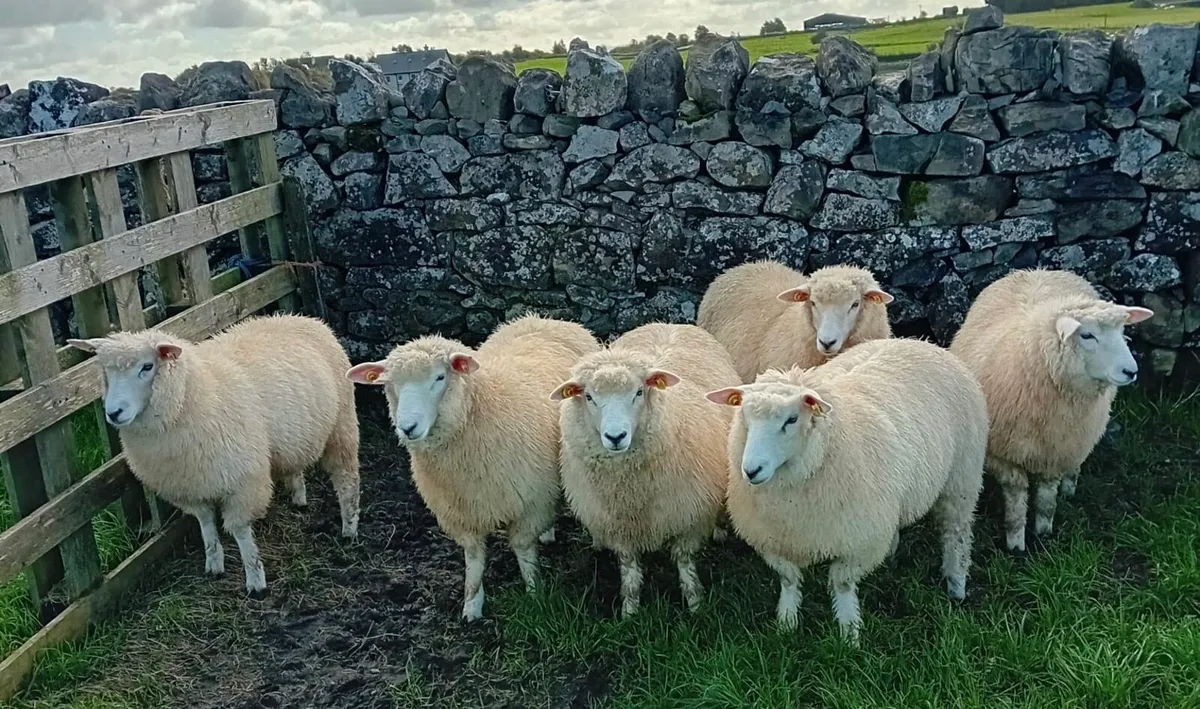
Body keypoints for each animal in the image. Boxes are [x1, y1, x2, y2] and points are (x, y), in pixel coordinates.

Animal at [68, 314, 361, 595]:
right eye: (106, 371)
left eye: (147, 367)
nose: (114, 413)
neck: (192, 393)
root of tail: (304, 318)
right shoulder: (192, 486)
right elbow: (206, 524)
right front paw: (214, 565)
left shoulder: (243, 482)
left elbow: (240, 532)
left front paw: (256, 582)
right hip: (294, 436)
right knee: (295, 465)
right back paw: (299, 499)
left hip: (342, 426)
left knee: (347, 478)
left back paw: (349, 527)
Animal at [347, 315, 599, 621]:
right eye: (391, 383)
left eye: (440, 377)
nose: (407, 427)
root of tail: (543, 318)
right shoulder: (462, 512)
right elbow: (474, 559)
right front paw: (472, 606)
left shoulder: (531, 501)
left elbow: (524, 551)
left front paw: (535, 594)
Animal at [551, 323, 740, 618]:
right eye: (589, 397)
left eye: (639, 392)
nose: (615, 436)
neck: (631, 488)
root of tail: (669, 324)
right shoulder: (620, 525)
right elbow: (629, 572)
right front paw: (629, 612)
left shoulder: (688, 514)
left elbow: (685, 564)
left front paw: (696, 604)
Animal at [706, 337, 987, 645]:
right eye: (744, 415)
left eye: (791, 420)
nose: (751, 470)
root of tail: (919, 342)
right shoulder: (774, 537)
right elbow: (789, 580)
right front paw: (787, 623)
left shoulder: (857, 539)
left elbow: (841, 585)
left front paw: (849, 633)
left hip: (961, 478)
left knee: (955, 533)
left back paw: (956, 585)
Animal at [948, 268, 1154, 553]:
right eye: (1087, 335)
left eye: (1122, 331)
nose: (1131, 371)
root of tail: (1041, 270)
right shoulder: (1002, 454)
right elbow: (1016, 495)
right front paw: (1015, 542)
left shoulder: (1058, 449)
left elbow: (1047, 497)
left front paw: (1043, 532)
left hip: (1079, 439)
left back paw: (1069, 487)